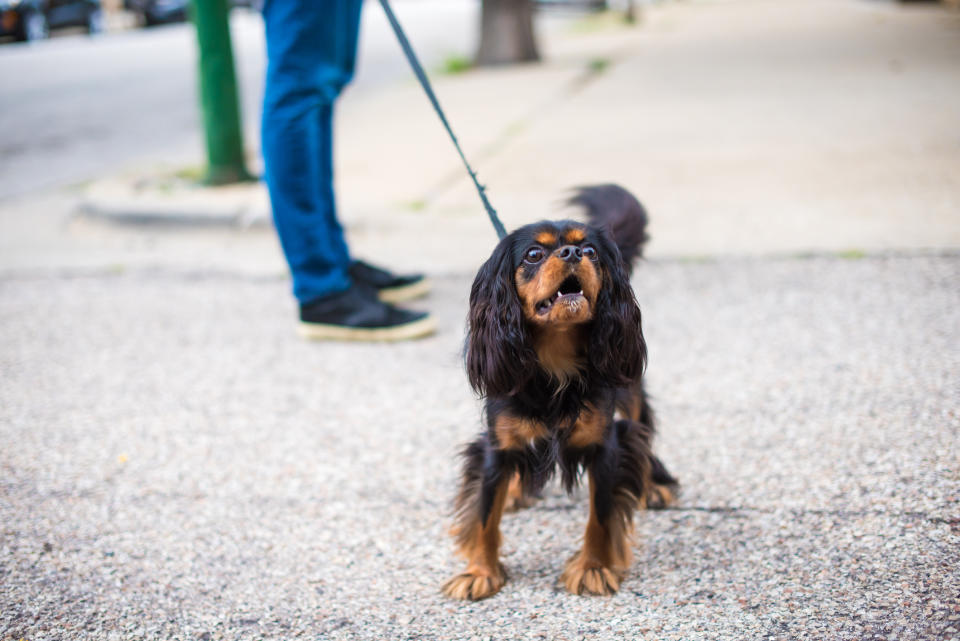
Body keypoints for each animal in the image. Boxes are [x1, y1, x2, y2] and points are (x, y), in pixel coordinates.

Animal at [442, 184, 676, 600]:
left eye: (591, 251)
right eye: (535, 254)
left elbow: (601, 515)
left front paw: (593, 568)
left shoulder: (605, 444)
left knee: (641, 428)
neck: (555, 359)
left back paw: (653, 485)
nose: (571, 253)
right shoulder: (495, 445)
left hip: (629, 390)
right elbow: (485, 514)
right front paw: (479, 572)